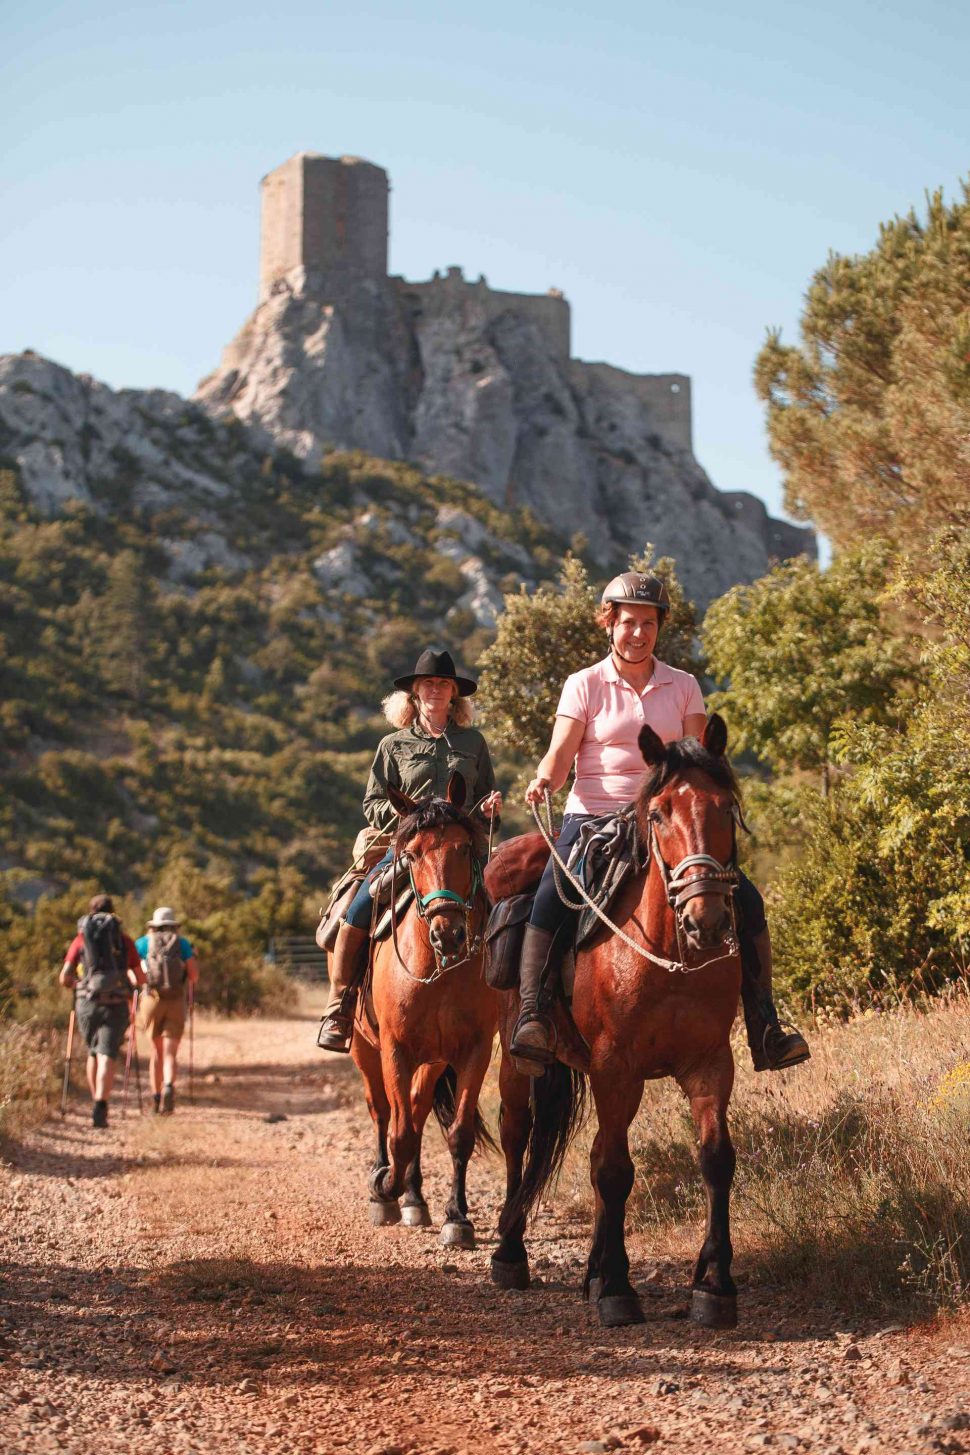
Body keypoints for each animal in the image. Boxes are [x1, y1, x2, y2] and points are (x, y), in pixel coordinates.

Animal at [350, 774, 500, 1251]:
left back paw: (415, 1199)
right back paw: (388, 1193)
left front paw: (458, 1218)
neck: (436, 969)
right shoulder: (394, 1050)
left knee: (415, 1112)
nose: (447, 933)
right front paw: (383, 1186)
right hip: (365, 1051)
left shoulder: (473, 1051)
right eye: (412, 854)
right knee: (384, 1113)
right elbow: (397, 1134)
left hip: (432, 1062)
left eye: (465, 848)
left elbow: (458, 1134)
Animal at [494, 715, 744, 1332]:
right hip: (515, 1061)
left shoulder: (710, 1064)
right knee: (516, 1137)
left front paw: (714, 1286)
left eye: (725, 807)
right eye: (658, 814)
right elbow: (614, 1172)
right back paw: (509, 1255)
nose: (706, 920)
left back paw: (588, 1272)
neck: (669, 955)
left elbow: (715, 1159)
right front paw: (616, 1289)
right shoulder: (617, 1069)